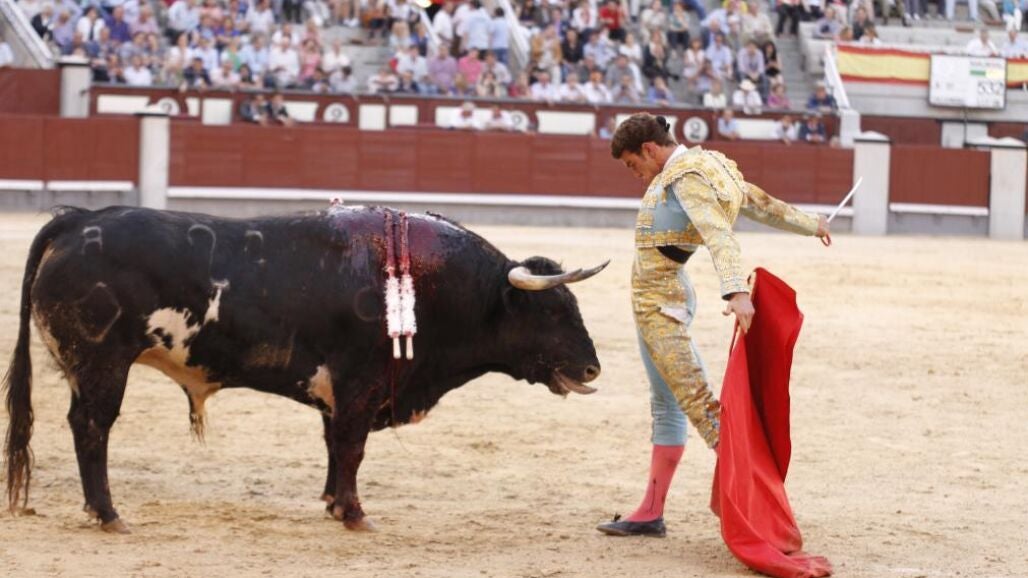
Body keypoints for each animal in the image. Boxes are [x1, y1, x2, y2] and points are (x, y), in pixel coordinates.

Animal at [3, 205, 607, 534]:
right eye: (553, 310)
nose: (593, 369)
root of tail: (79, 220)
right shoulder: (360, 384)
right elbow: (352, 448)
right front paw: (355, 514)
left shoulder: (338, 392)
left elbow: (333, 446)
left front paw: (333, 503)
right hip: (103, 364)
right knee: (92, 429)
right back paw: (108, 514)